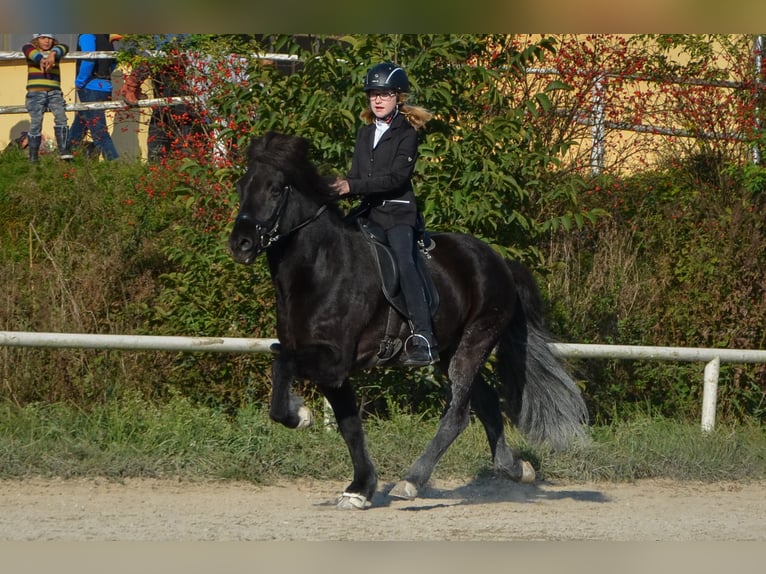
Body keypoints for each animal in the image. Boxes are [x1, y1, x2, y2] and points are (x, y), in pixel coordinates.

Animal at [228, 133, 588, 510]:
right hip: (450, 349)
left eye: (275, 189)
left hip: (476, 340)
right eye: (241, 186)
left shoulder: (333, 361)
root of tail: (500, 261)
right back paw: (516, 469)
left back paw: (412, 481)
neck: (320, 268)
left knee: (458, 414)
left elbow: (281, 364)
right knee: (487, 403)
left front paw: (300, 416)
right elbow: (349, 425)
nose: (240, 244)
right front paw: (359, 489)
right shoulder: (332, 370)